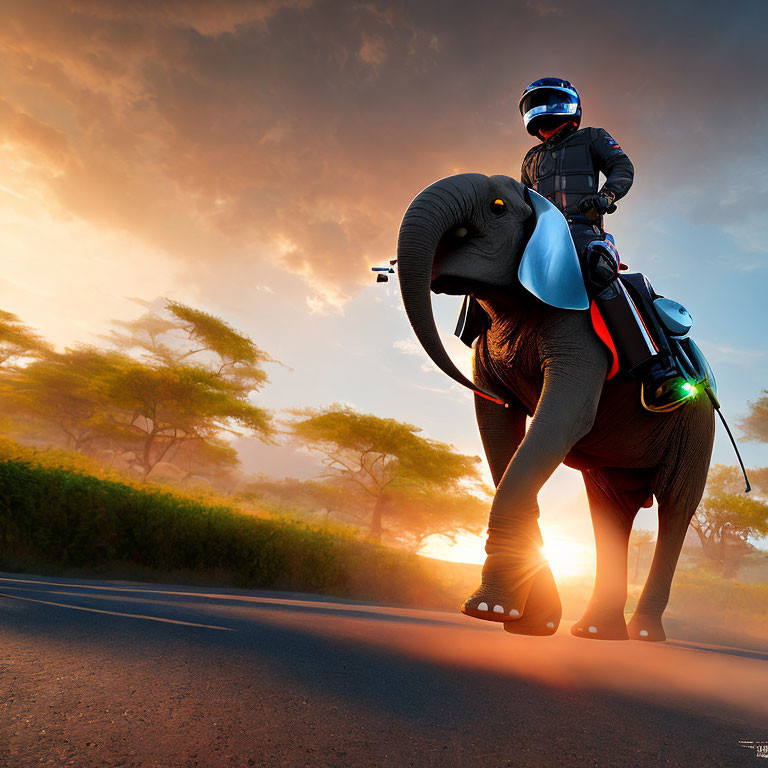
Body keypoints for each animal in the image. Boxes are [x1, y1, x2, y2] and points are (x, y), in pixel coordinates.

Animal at [396, 174, 712, 640]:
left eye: (496, 207)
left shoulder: (581, 332)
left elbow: (564, 419)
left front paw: (486, 610)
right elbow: (497, 425)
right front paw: (528, 621)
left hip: (695, 428)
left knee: (676, 506)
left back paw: (641, 636)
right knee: (609, 511)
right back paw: (596, 633)